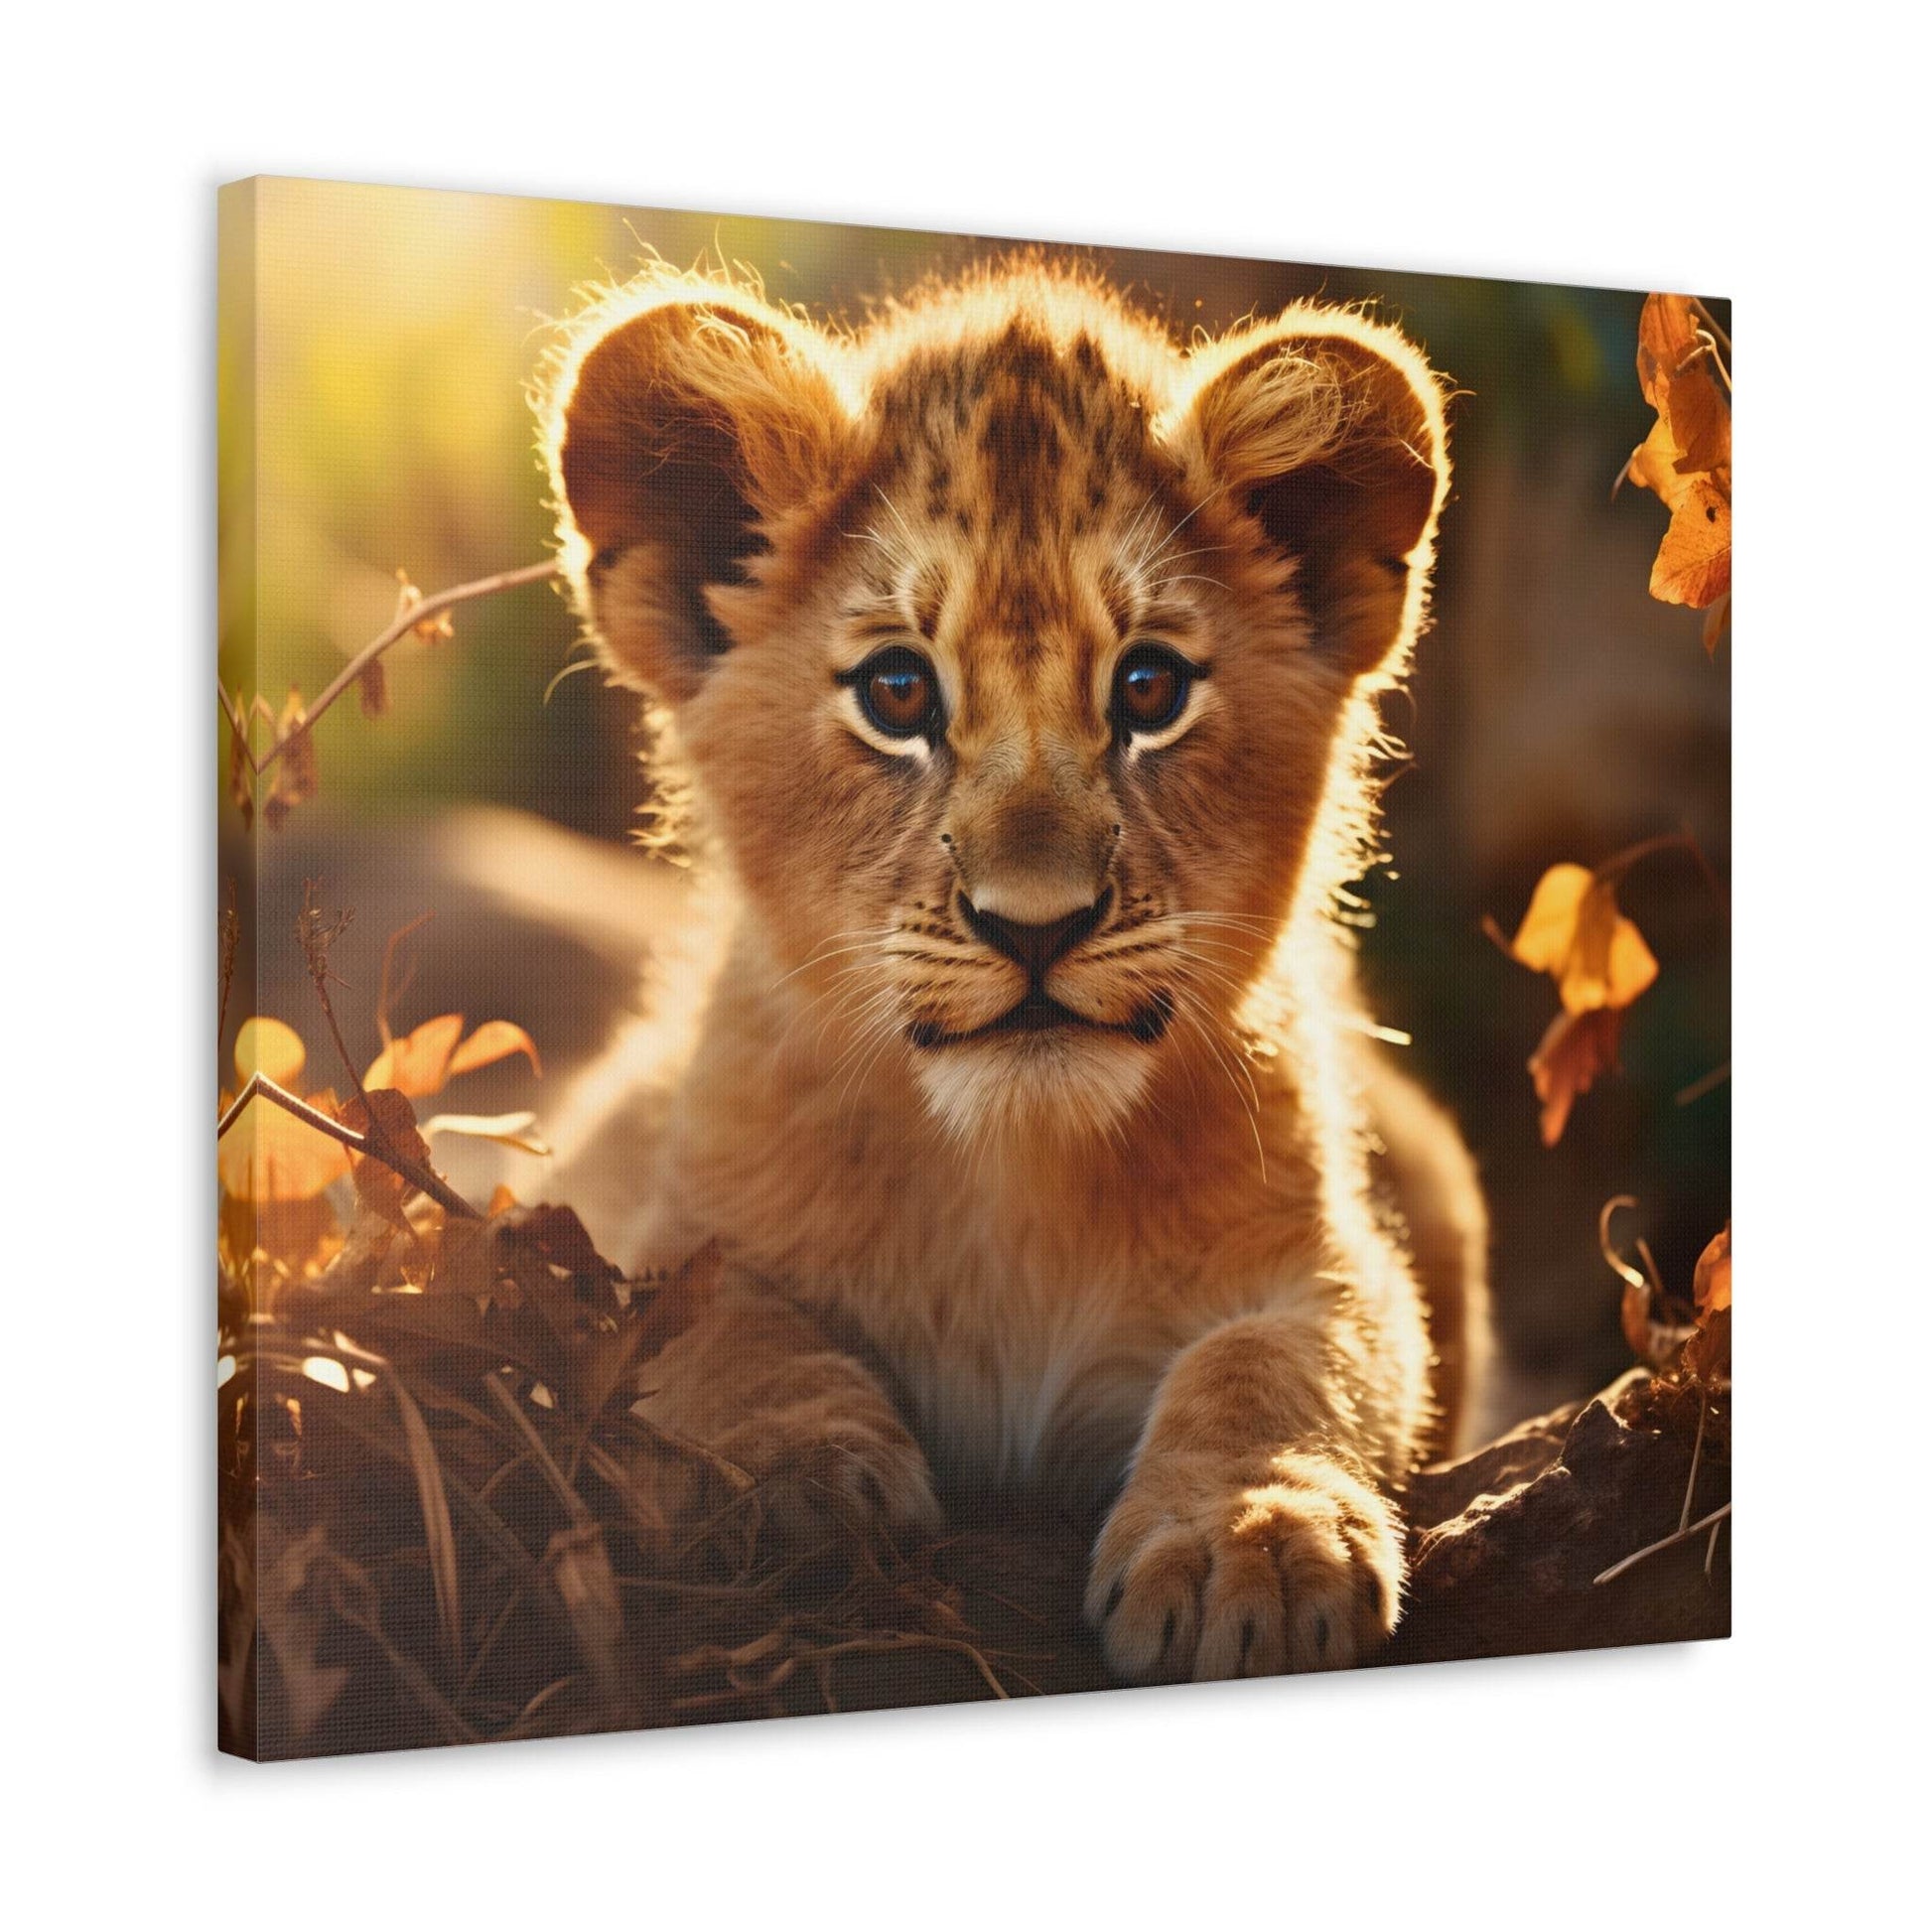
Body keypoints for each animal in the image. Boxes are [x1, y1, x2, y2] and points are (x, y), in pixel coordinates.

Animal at [536, 259, 1490, 1683]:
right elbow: (715, 1323)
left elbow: (1281, 1360)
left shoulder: (1327, 1254)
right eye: (895, 691)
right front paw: (789, 1475)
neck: (1011, 1181)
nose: (1034, 924)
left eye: (1148, 688)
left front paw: (1250, 1538)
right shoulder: (646, 1211)